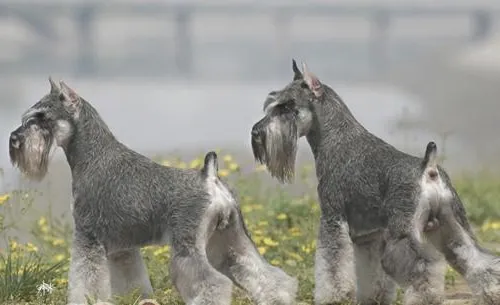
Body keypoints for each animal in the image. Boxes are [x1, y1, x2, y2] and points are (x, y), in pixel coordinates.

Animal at [7, 78, 296, 304]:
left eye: (42, 118)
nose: (14, 139)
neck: (92, 156)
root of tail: (210, 177)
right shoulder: (122, 248)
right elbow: (131, 282)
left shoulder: (87, 238)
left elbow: (85, 280)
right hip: (231, 241)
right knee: (267, 275)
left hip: (188, 248)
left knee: (214, 283)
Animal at [250, 60, 500, 304]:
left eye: (286, 107)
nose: (255, 132)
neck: (334, 138)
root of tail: (428, 169)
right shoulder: (369, 236)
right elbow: (371, 274)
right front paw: (373, 297)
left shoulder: (333, 218)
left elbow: (332, 265)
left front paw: (334, 297)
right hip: (453, 225)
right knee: (478, 259)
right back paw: (492, 292)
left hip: (403, 234)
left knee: (423, 268)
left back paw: (427, 297)